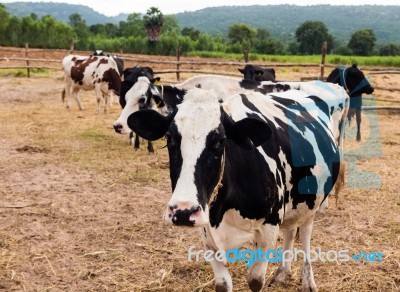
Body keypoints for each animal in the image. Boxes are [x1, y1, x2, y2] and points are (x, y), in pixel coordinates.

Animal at [126, 82, 348, 292]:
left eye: (220, 141)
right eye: (170, 138)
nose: (183, 211)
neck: (221, 210)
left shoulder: (269, 228)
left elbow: (255, 280)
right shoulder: (207, 234)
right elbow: (223, 284)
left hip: (313, 202)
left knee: (305, 234)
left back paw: (308, 281)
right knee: (291, 230)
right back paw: (282, 273)